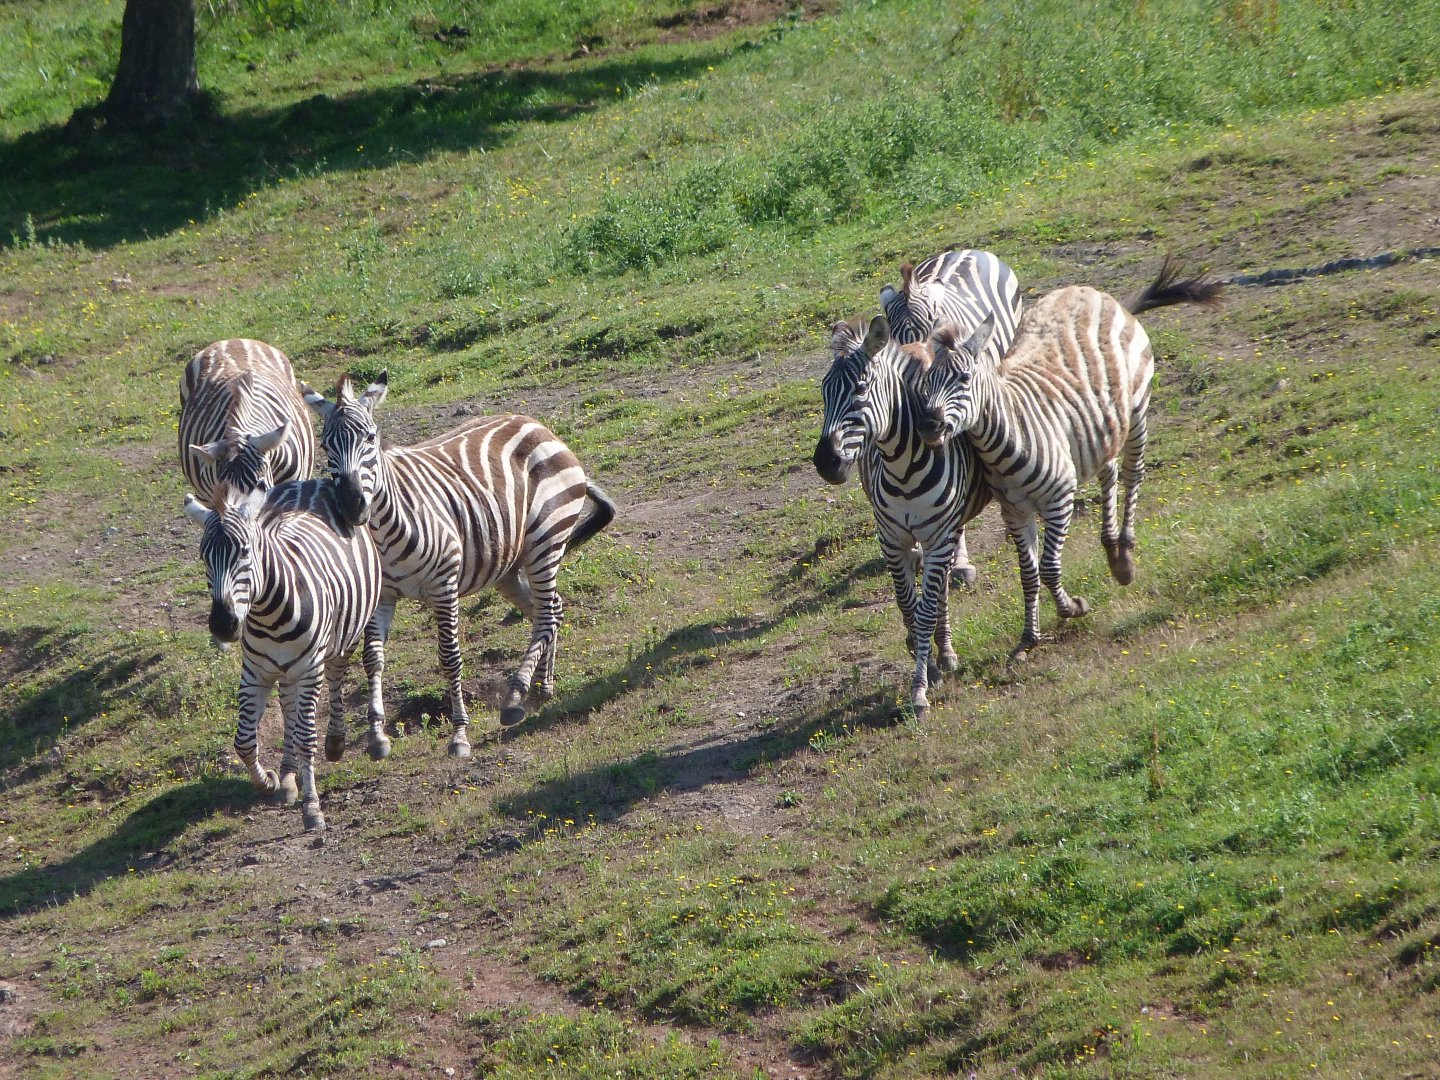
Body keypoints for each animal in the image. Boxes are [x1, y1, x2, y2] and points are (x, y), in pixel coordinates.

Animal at [183, 479, 381, 832]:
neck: (267, 614)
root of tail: (313, 483)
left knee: (347, 670)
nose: (222, 624)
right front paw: (270, 781)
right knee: (290, 708)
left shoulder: (309, 670)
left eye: (244, 552)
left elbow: (306, 738)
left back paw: (349, 741)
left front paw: (312, 808)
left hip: (353, 626)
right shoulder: (254, 673)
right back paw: (290, 775)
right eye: (204, 556)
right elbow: (244, 741)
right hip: (287, 669)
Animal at [302, 372, 617, 758]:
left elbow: (449, 656)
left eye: (371, 438)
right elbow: (373, 660)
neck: (382, 533)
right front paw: (377, 737)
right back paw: (543, 685)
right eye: (325, 445)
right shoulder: (383, 596)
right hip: (508, 567)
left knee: (545, 613)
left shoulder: (443, 585)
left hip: (545, 540)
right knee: (551, 609)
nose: (351, 505)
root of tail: (537, 425)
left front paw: (459, 734)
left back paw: (516, 696)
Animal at [815, 314, 992, 720]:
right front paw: (922, 660)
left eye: (860, 388)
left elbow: (926, 608)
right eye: (824, 392)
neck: (902, 469)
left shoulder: (940, 538)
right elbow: (907, 605)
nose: (825, 463)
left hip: (944, 534)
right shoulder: (891, 541)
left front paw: (921, 689)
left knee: (940, 588)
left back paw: (946, 649)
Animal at [910, 256, 1223, 661]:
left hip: (1138, 408)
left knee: (1132, 474)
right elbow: (1028, 574)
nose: (927, 426)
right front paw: (1028, 638)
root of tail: (1093, 293)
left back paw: (1125, 556)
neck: (1005, 439)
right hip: (1101, 427)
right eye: (925, 383)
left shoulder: (1059, 500)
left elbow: (1048, 568)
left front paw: (1072, 608)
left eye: (963, 379)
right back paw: (1112, 549)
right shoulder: (1014, 510)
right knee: (1108, 473)